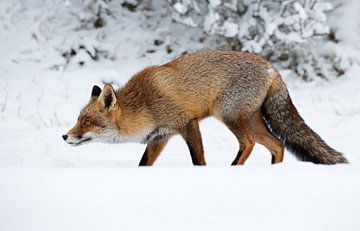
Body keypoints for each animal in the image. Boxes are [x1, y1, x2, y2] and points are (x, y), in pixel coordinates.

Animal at [63, 50, 348, 166]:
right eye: (78, 119)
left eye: (87, 122)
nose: (65, 136)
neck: (145, 105)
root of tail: (270, 67)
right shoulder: (160, 137)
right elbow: (144, 165)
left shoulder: (187, 124)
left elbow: (197, 159)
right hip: (252, 120)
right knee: (277, 145)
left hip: (231, 117)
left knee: (249, 144)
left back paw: (234, 168)